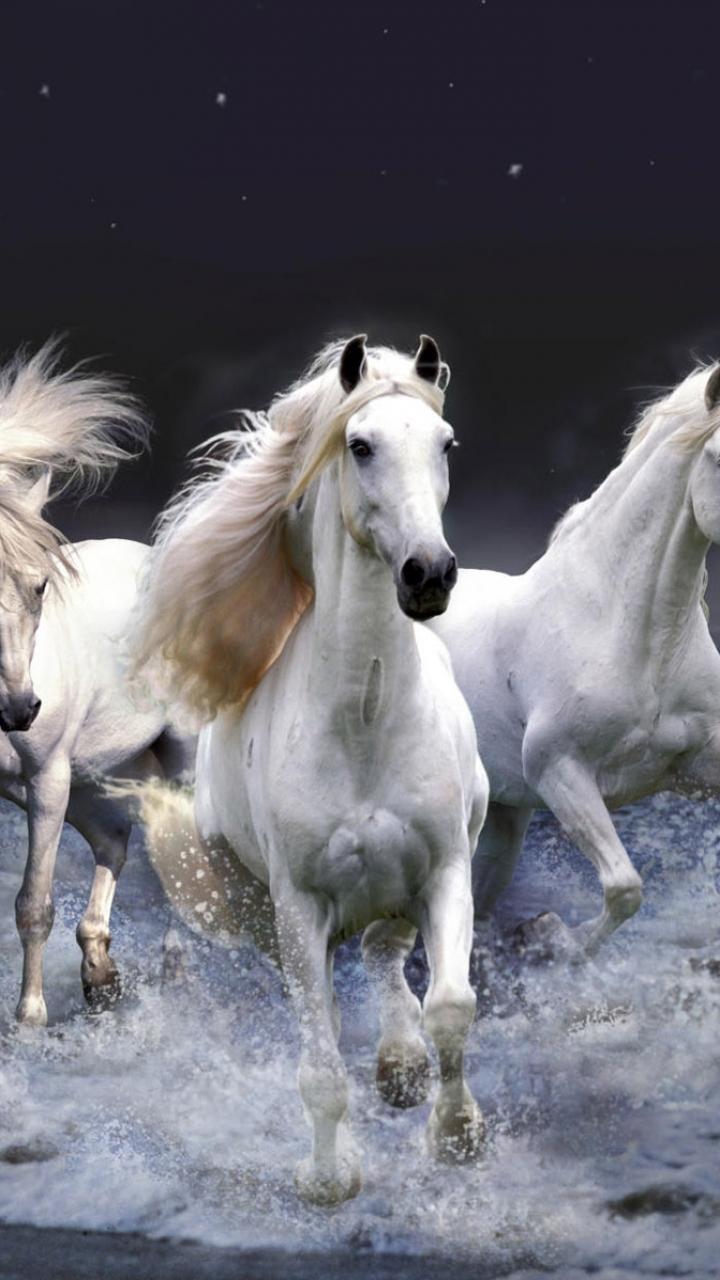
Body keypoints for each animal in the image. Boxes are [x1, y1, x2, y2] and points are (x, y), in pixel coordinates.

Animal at [0, 340, 191, 1026]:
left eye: (39, 587)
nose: (21, 710)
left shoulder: (45, 780)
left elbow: (33, 905)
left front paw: (29, 1021)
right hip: (86, 778)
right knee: (113, 842)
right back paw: (100, 973)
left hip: (168, 762)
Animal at [132, 335, 488, 1205]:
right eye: (359, 445)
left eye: (446, 444)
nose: (428, 574)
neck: (364, 720)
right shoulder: (298, 908)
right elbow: (321, 1064)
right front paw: (331, 1179)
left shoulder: (445, 868)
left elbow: (451, 1005)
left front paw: (456, 1136)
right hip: (264, 911)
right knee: (336, 987)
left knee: (387, 953)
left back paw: (401, 1067)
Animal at [430, 362, 720, 959]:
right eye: (719, 457)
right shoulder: (559, 770)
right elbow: (625, 888)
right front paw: (552, 937)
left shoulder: (701, 765)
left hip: (502, 818)